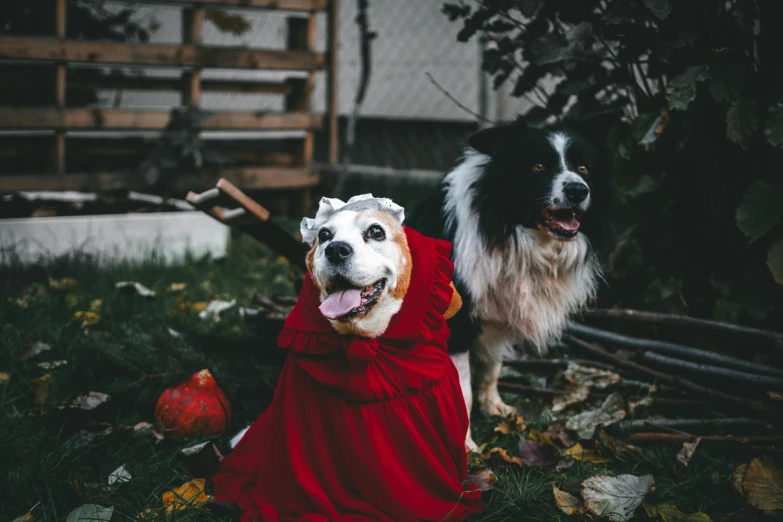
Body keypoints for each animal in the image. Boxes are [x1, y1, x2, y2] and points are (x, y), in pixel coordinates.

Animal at [410, 117, 612, 446]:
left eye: (583, 168)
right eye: (538, 166)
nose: (578, 191)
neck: (510, 231)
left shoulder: (500, 312)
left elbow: (492, 366)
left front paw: (494, 406)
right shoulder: (456, 323)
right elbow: (462, 389)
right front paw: (466, 445)